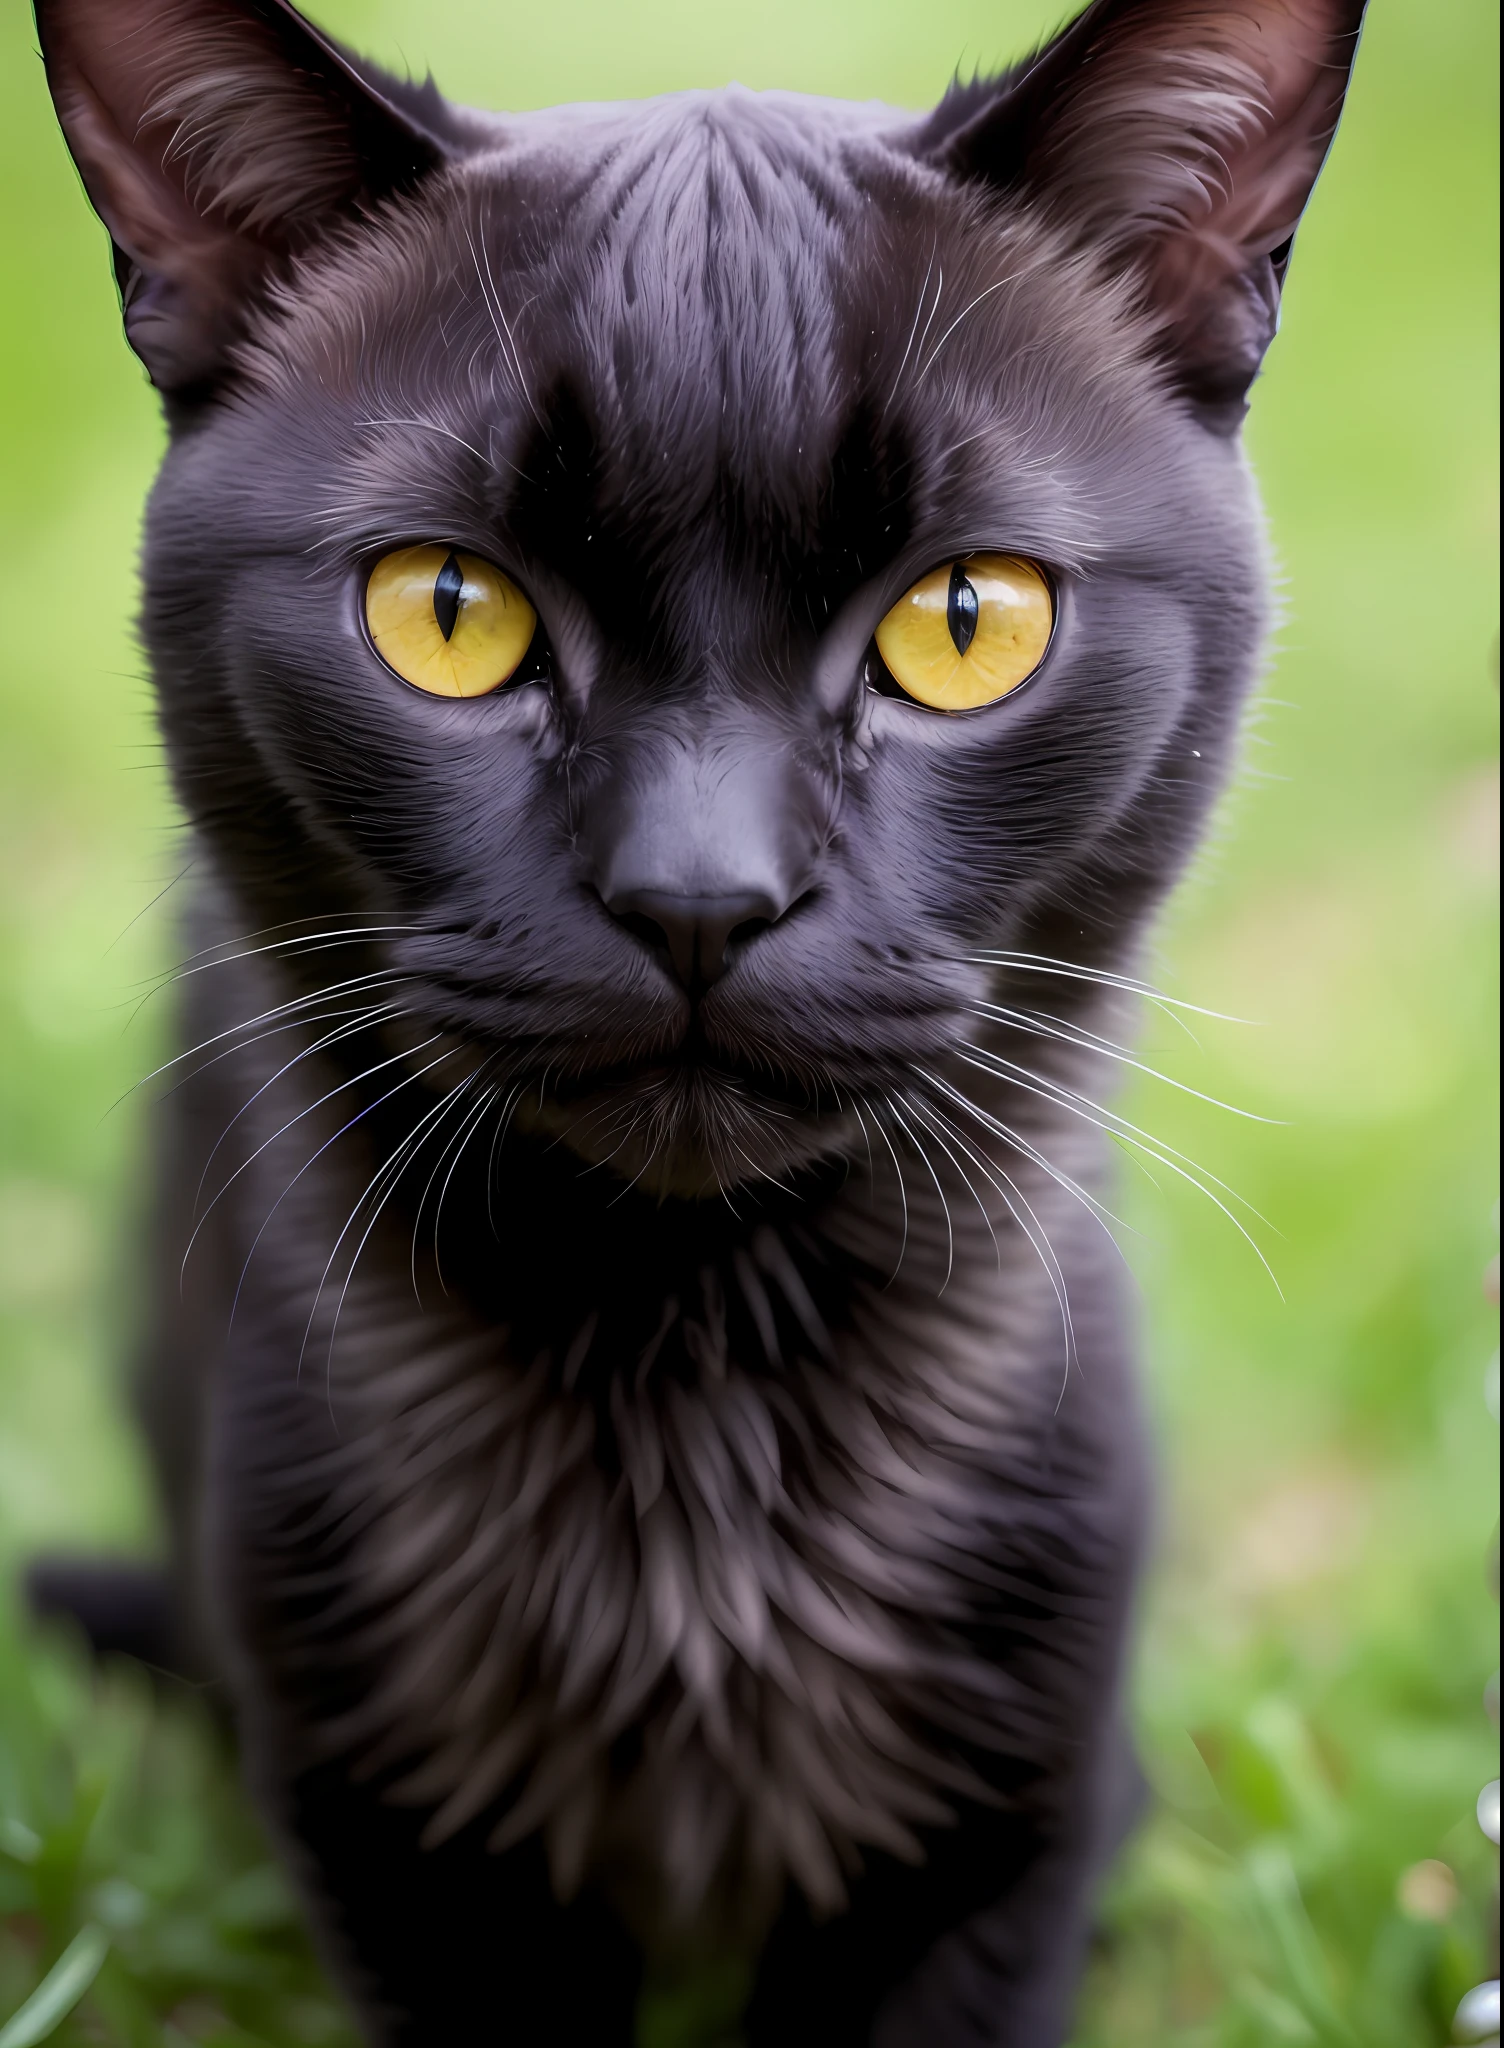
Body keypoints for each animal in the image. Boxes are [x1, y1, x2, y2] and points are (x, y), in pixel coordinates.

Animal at [29, 0, 1368, 2039]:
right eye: (444, 612)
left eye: (966, 622)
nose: (698, 897)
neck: (695, 1399)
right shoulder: (395, 1837)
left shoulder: (1004, 1818)